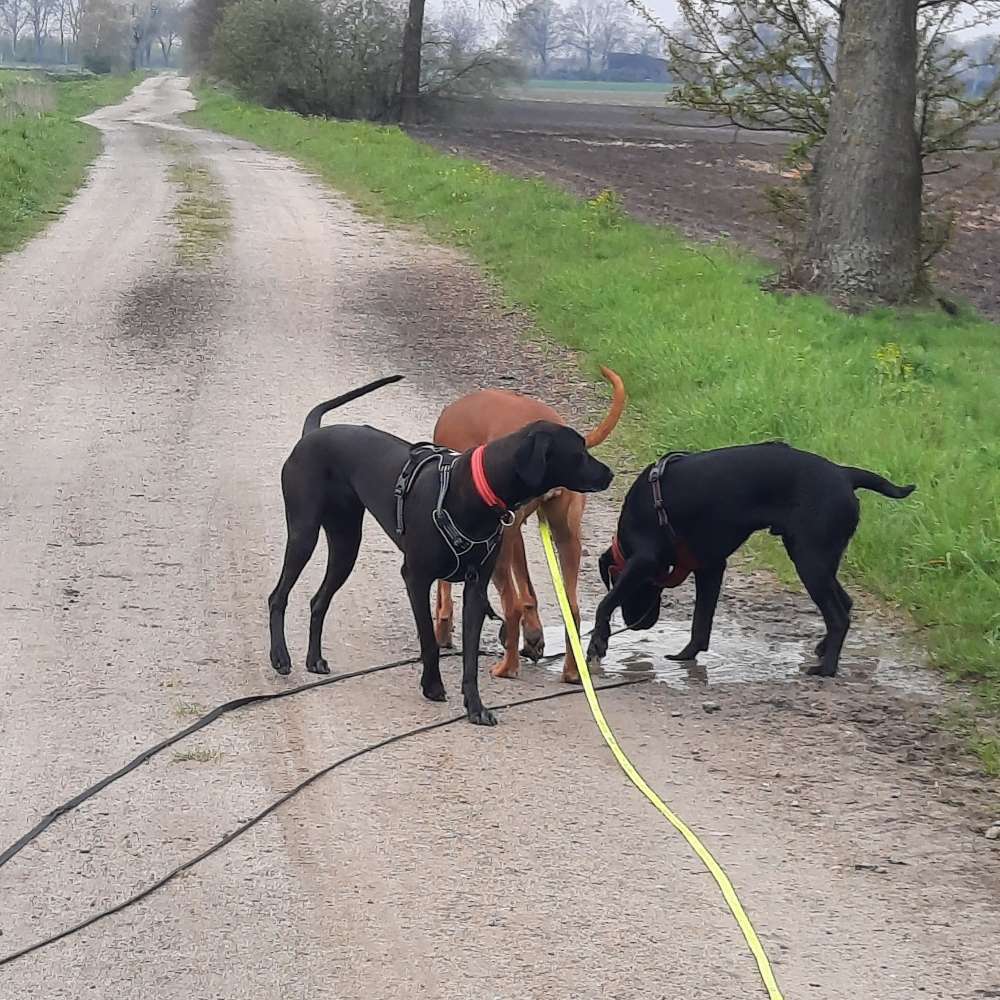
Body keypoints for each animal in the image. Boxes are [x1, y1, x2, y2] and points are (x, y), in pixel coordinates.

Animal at [432, 372, 620, 684]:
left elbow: (443, 588)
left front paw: (442, 629)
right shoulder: (513, 533)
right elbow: (529, 592)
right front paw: (533, 638)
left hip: (504, 546)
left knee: (512, 605)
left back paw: (507, 668)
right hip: (565, 537)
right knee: (571, 608)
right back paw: (571, 672)